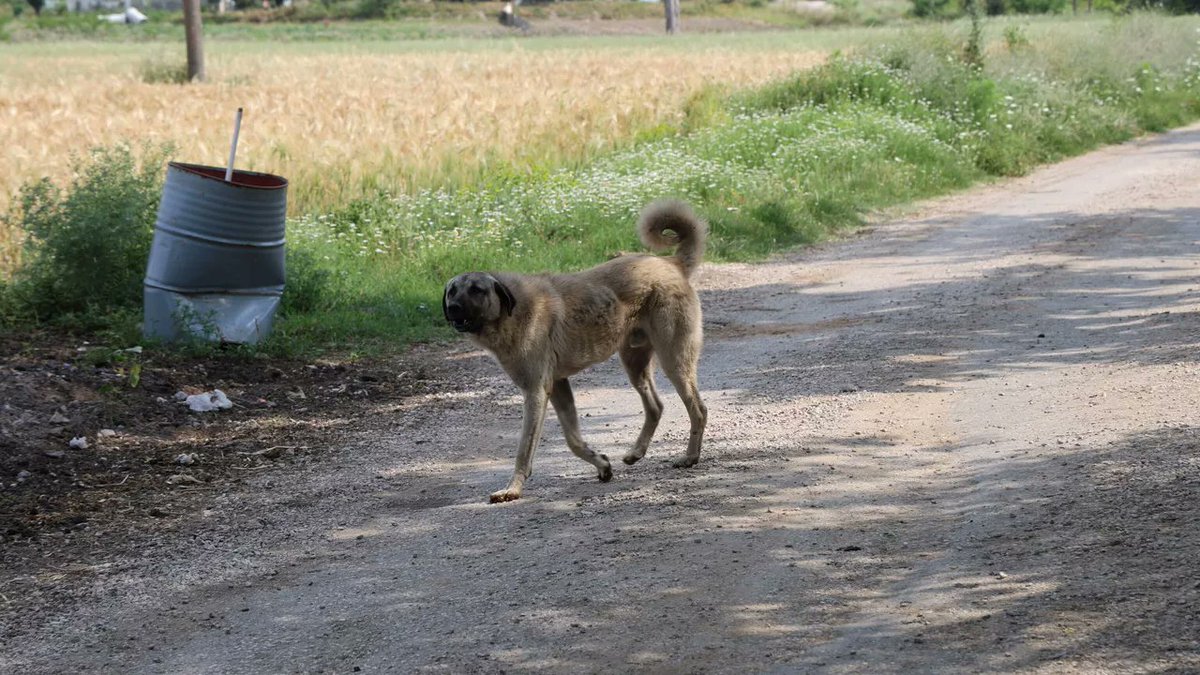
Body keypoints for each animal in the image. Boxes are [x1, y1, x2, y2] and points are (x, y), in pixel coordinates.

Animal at [448, 199, 710, 499]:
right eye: (451, 291)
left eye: (476, 289)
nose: (452, 308)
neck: (511, 312)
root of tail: (672, 263)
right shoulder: (559, 386)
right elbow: (573, 440)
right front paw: (602, 465)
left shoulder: (535, 392)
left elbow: (524, 450)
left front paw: (512, 489)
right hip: (635, 363)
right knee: (656, 406)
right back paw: (636, 453)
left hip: (674, 360)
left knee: (698, 409)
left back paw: (689, 457)